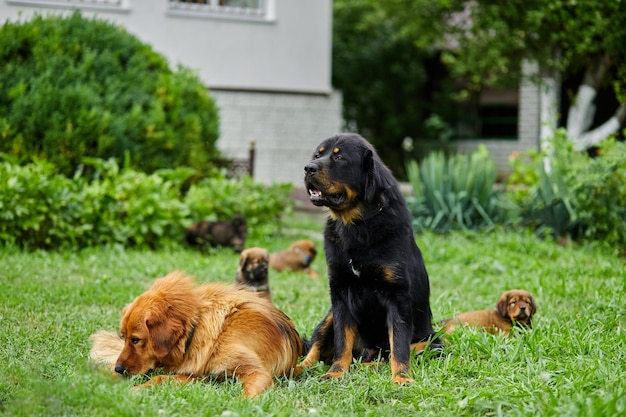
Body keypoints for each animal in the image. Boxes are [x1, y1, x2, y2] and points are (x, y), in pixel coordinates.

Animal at [88, 270, 302, 396]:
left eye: (135, 340)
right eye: (123, 337)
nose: (119, 369)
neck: (198, 327)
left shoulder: (257, 372)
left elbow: (248, 394)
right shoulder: (198, 376)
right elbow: (160, 378)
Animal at [294, 132, 442, 384]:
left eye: (340, 157)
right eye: (317, 155)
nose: (308, 168)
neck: (355, 224)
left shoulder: (397, 295)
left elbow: (399, 344)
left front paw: (401, 378)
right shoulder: (340, 292)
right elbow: (342, 340)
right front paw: (336, 372)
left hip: (434, 342)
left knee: (392, 353)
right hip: (329, 316)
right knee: (315, 348)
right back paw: (297, 369)